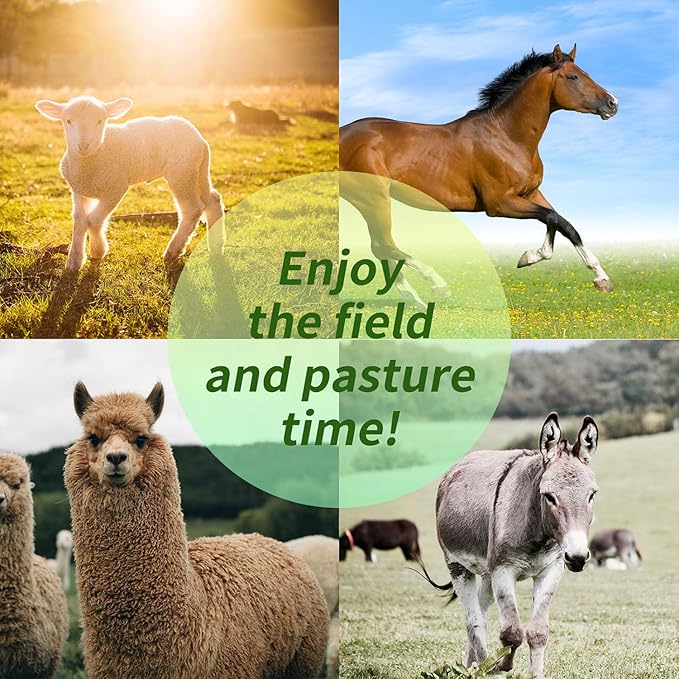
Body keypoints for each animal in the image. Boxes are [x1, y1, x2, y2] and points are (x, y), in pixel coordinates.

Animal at [340, 44, 618, 308]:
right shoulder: (499, 204)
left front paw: (597, 277)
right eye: (573, 76)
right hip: (374, 199)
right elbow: (554, 218)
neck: (507, 136)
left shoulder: (531, 193)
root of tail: (343, 134)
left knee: (381, 247)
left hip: (370, 202)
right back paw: (437, 286)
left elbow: (562, 223)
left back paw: (415, 300)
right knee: (383, 245)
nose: (613, 103)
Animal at [417, 413, 599, 677]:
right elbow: (512, 632)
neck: (537, 533)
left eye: (592, 495)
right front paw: (501, 665)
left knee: (481, 612)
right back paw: (483, 665)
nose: (577, 557)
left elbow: (537, 632)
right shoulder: (503, 571)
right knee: (474, 621)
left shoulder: (550, 571)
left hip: (487, 574)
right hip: (458, 566)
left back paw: (470, 665)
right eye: (549, 497)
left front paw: (534, 673)